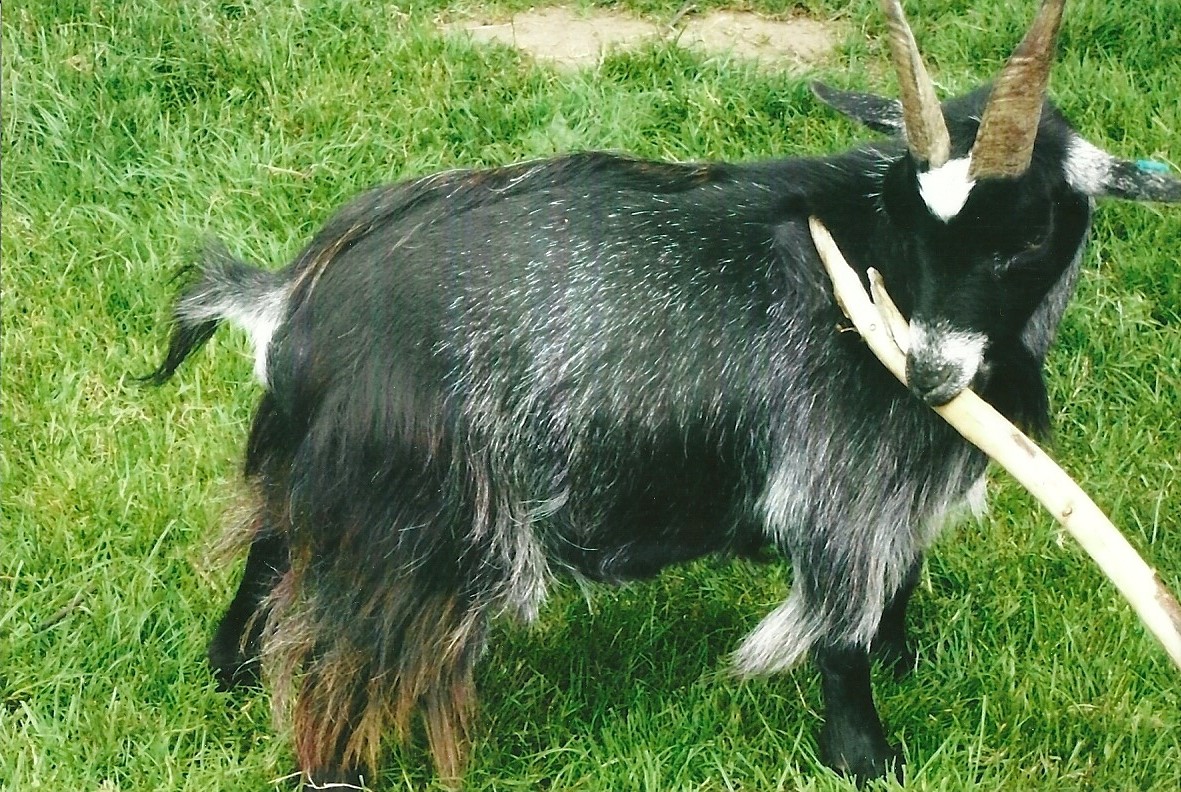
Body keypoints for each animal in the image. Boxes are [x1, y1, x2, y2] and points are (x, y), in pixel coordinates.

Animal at [148, 0, 1180, 786]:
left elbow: (898, 581)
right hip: (405, 523)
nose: (924, 373)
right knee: (338, 656)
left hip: (307, 465)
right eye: (905, 219)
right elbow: (839, 636)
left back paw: (231, 673)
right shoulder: (839, 483)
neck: (859, 263)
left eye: (1022, 236)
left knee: (268, 553)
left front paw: (904, 657)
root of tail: (290, 295)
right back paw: (334, 764)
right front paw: (866, 757)